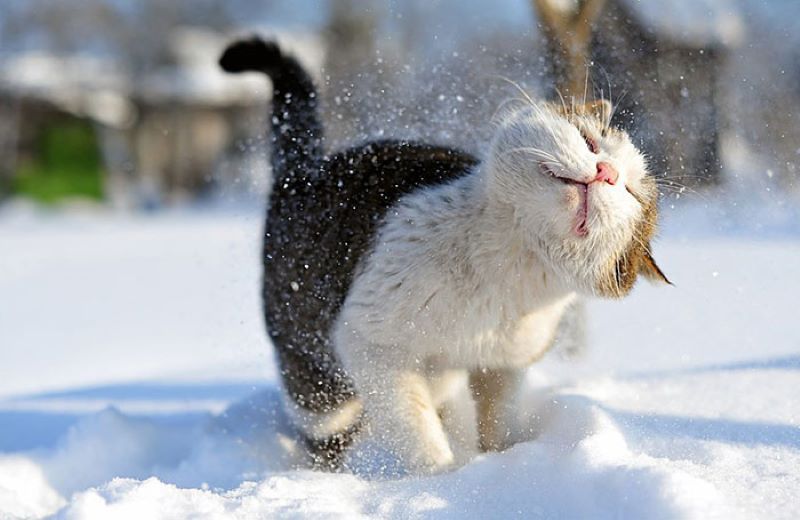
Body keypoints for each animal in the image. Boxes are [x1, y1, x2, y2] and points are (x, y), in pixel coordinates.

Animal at [219, 36, 668, 476]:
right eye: (590, 142)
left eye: (630, 193)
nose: (607, 172)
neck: (507, 264)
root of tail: (303, 171)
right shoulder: (370, 343)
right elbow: (414, 428)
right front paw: (442, 479)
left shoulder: (504, 365)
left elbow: (498, 422)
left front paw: (501, 464)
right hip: (318, 382)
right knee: (328, 431)